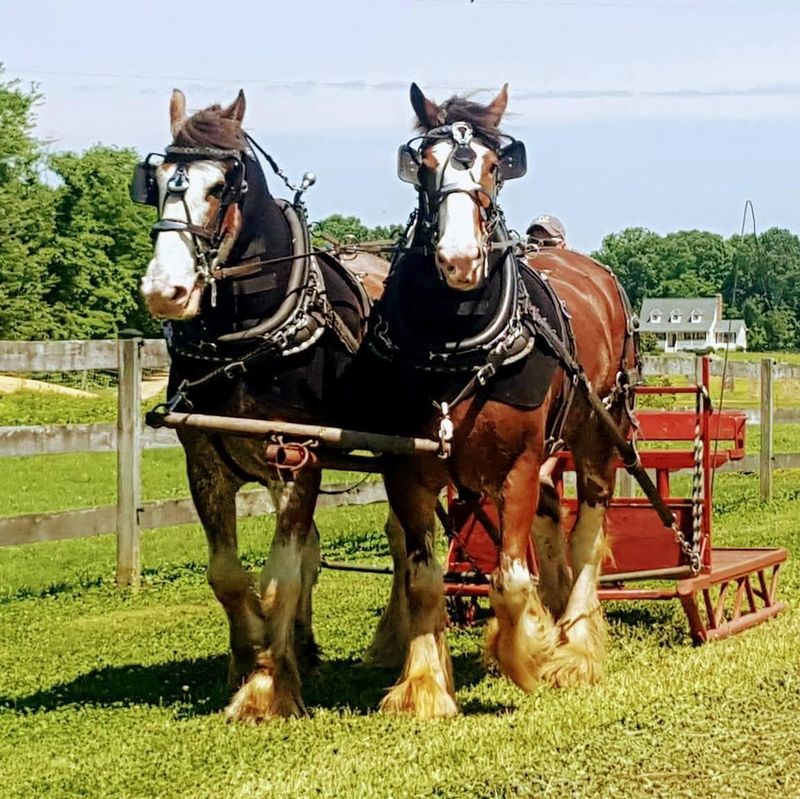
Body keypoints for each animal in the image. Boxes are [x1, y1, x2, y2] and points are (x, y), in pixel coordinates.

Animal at [136, 90, 392, 720]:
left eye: (222, 186)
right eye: (156, 181)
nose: (165, 290)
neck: (247, 343)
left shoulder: (297, 461)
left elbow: (281, 577)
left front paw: (266, 689)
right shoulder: (205, 460)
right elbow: (230, 575)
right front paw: (250, 659)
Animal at [360, 86, 640, 720]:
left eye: (493, 167)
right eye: (424, 165)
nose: (460, 259)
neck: (455, 343)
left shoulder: (517, 465)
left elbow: (510, 581)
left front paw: (525, 656)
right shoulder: (407, 467)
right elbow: (423, 576)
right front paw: (424, 685)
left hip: (599, 429)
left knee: (587, 527)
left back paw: (574, 646)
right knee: (551, 516)